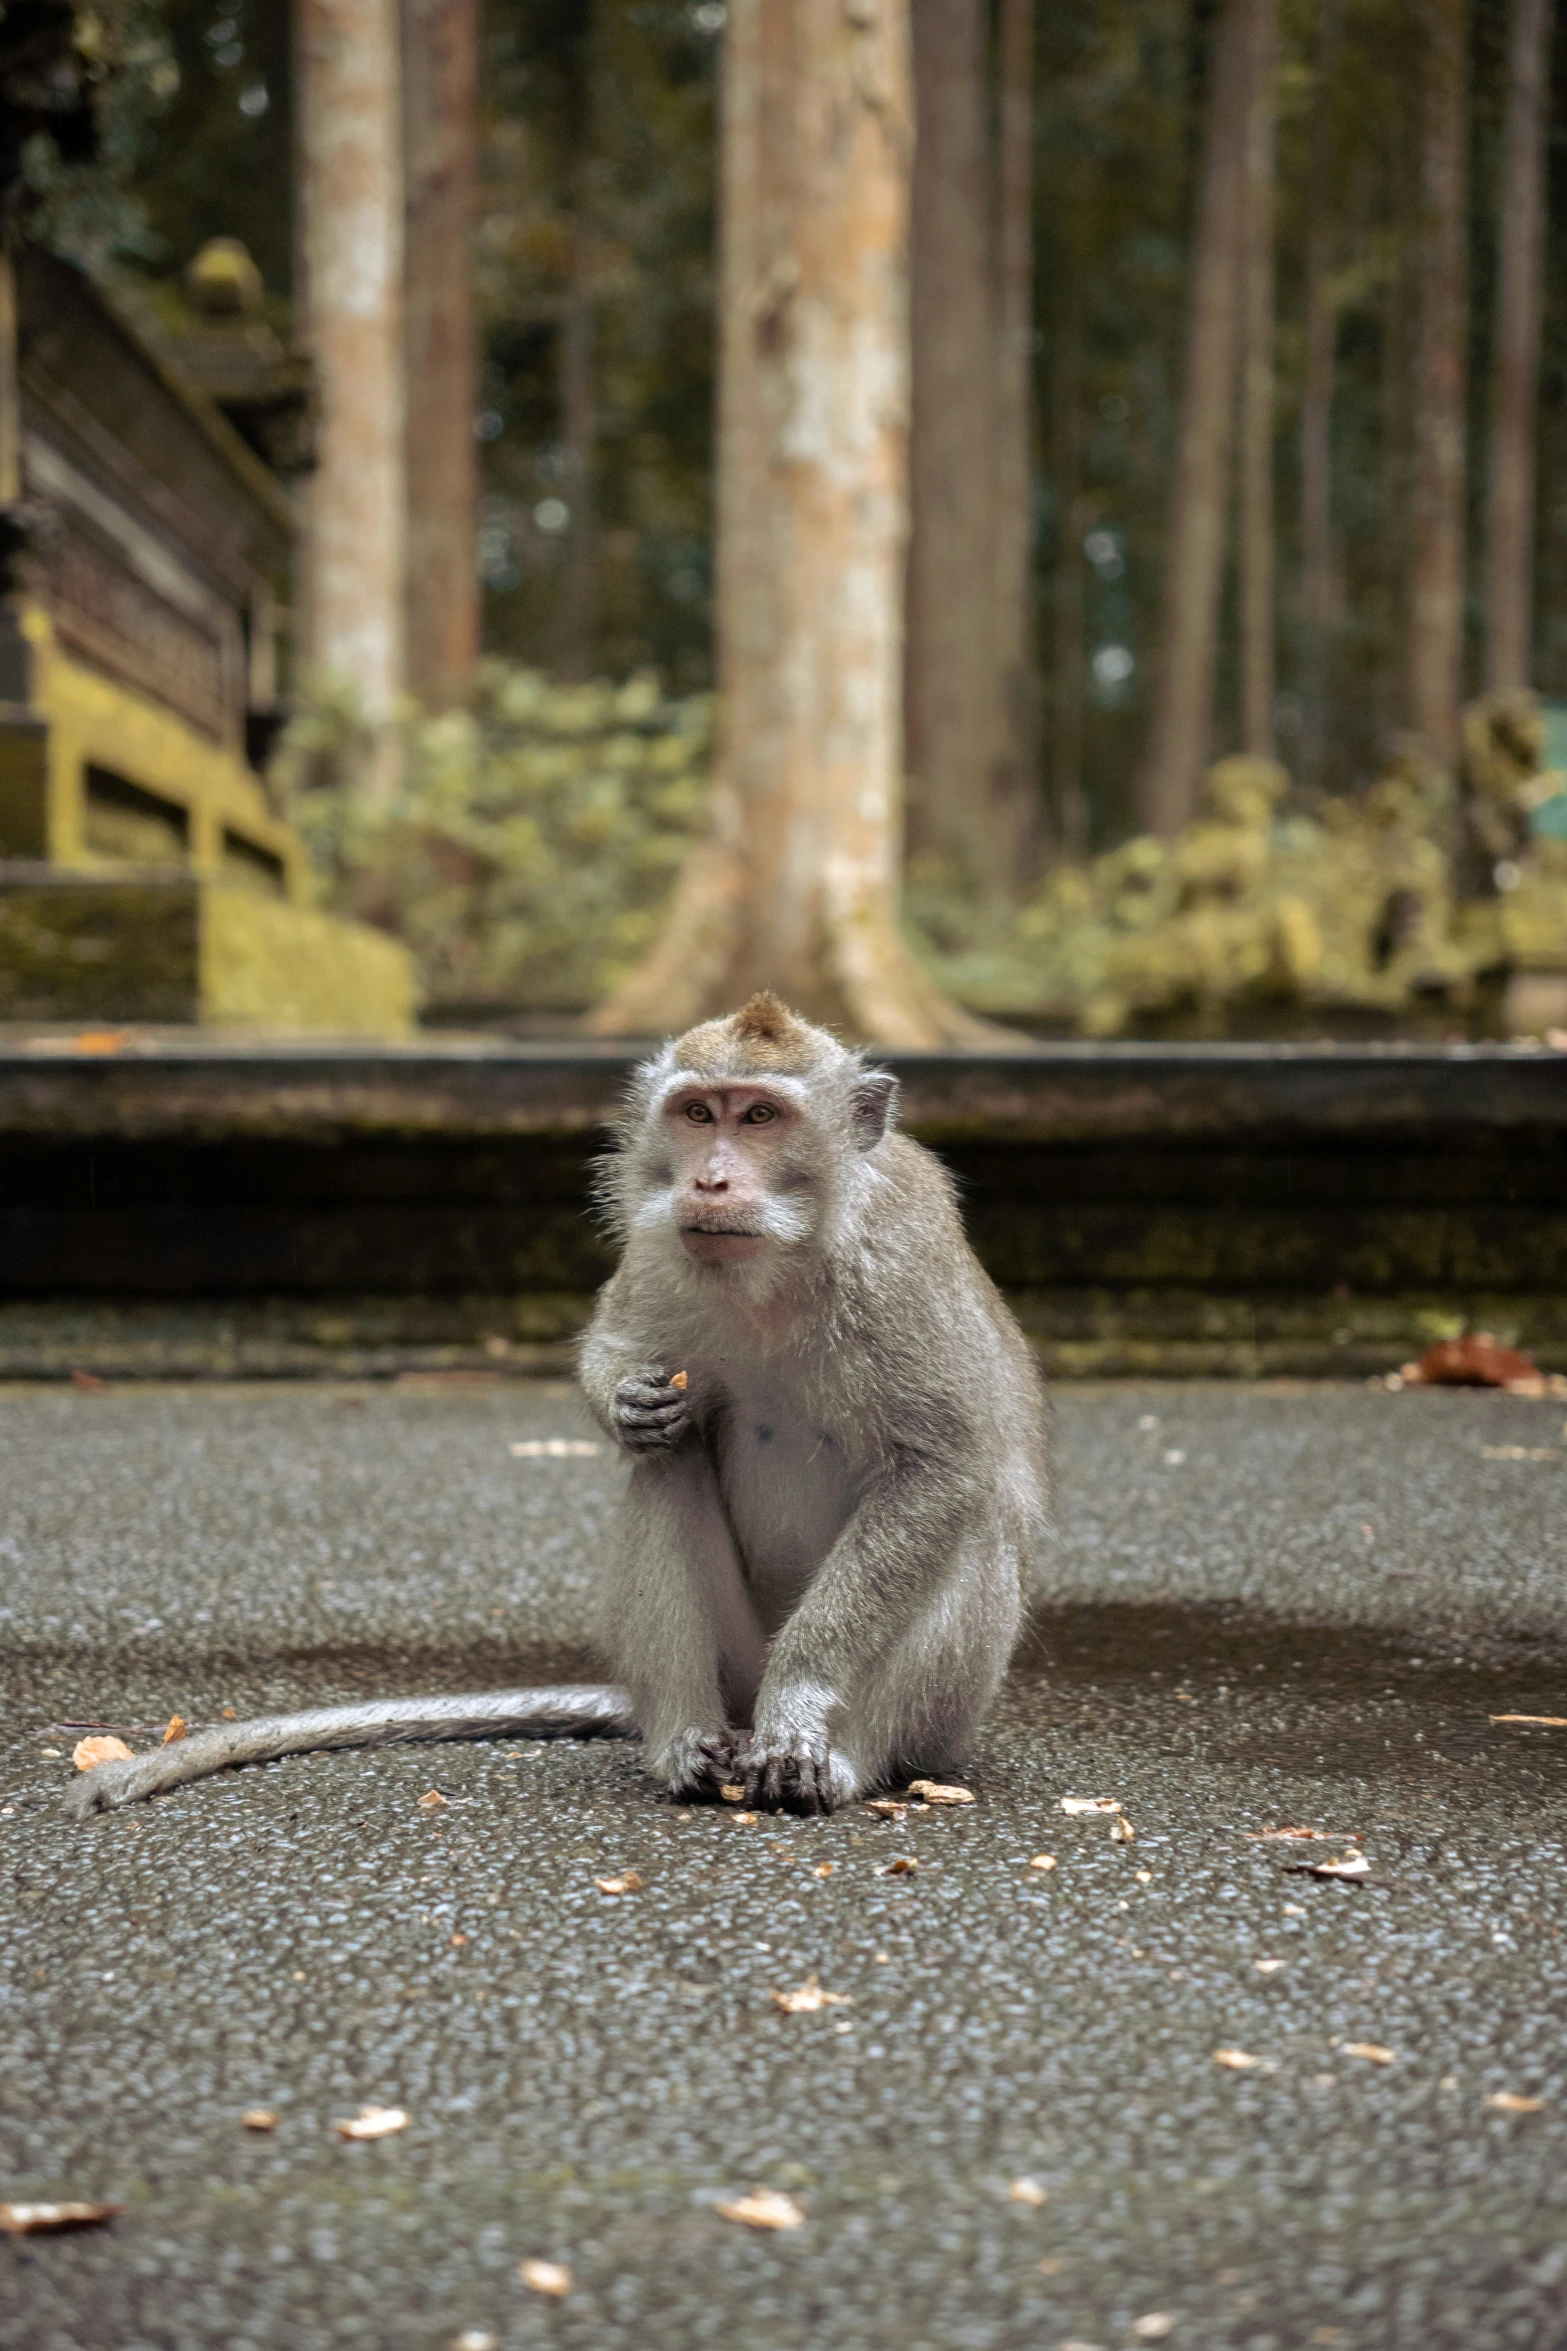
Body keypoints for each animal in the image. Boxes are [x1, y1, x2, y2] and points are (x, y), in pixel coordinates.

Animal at [67, 992, 1047, 1814]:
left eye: (762, 1116)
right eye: (699, 1114)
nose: (710, 1181)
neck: (779, 1268)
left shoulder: (900, 1265)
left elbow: (941, 1466)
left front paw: (803, 1699)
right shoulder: (660, 1239)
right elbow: (623, 1358)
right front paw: (626, 1403)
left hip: (944, 1713)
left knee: (968, 1532)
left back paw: (841, 1757)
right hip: (733, 1659)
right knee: (669, 1464)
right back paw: (683, 1740)